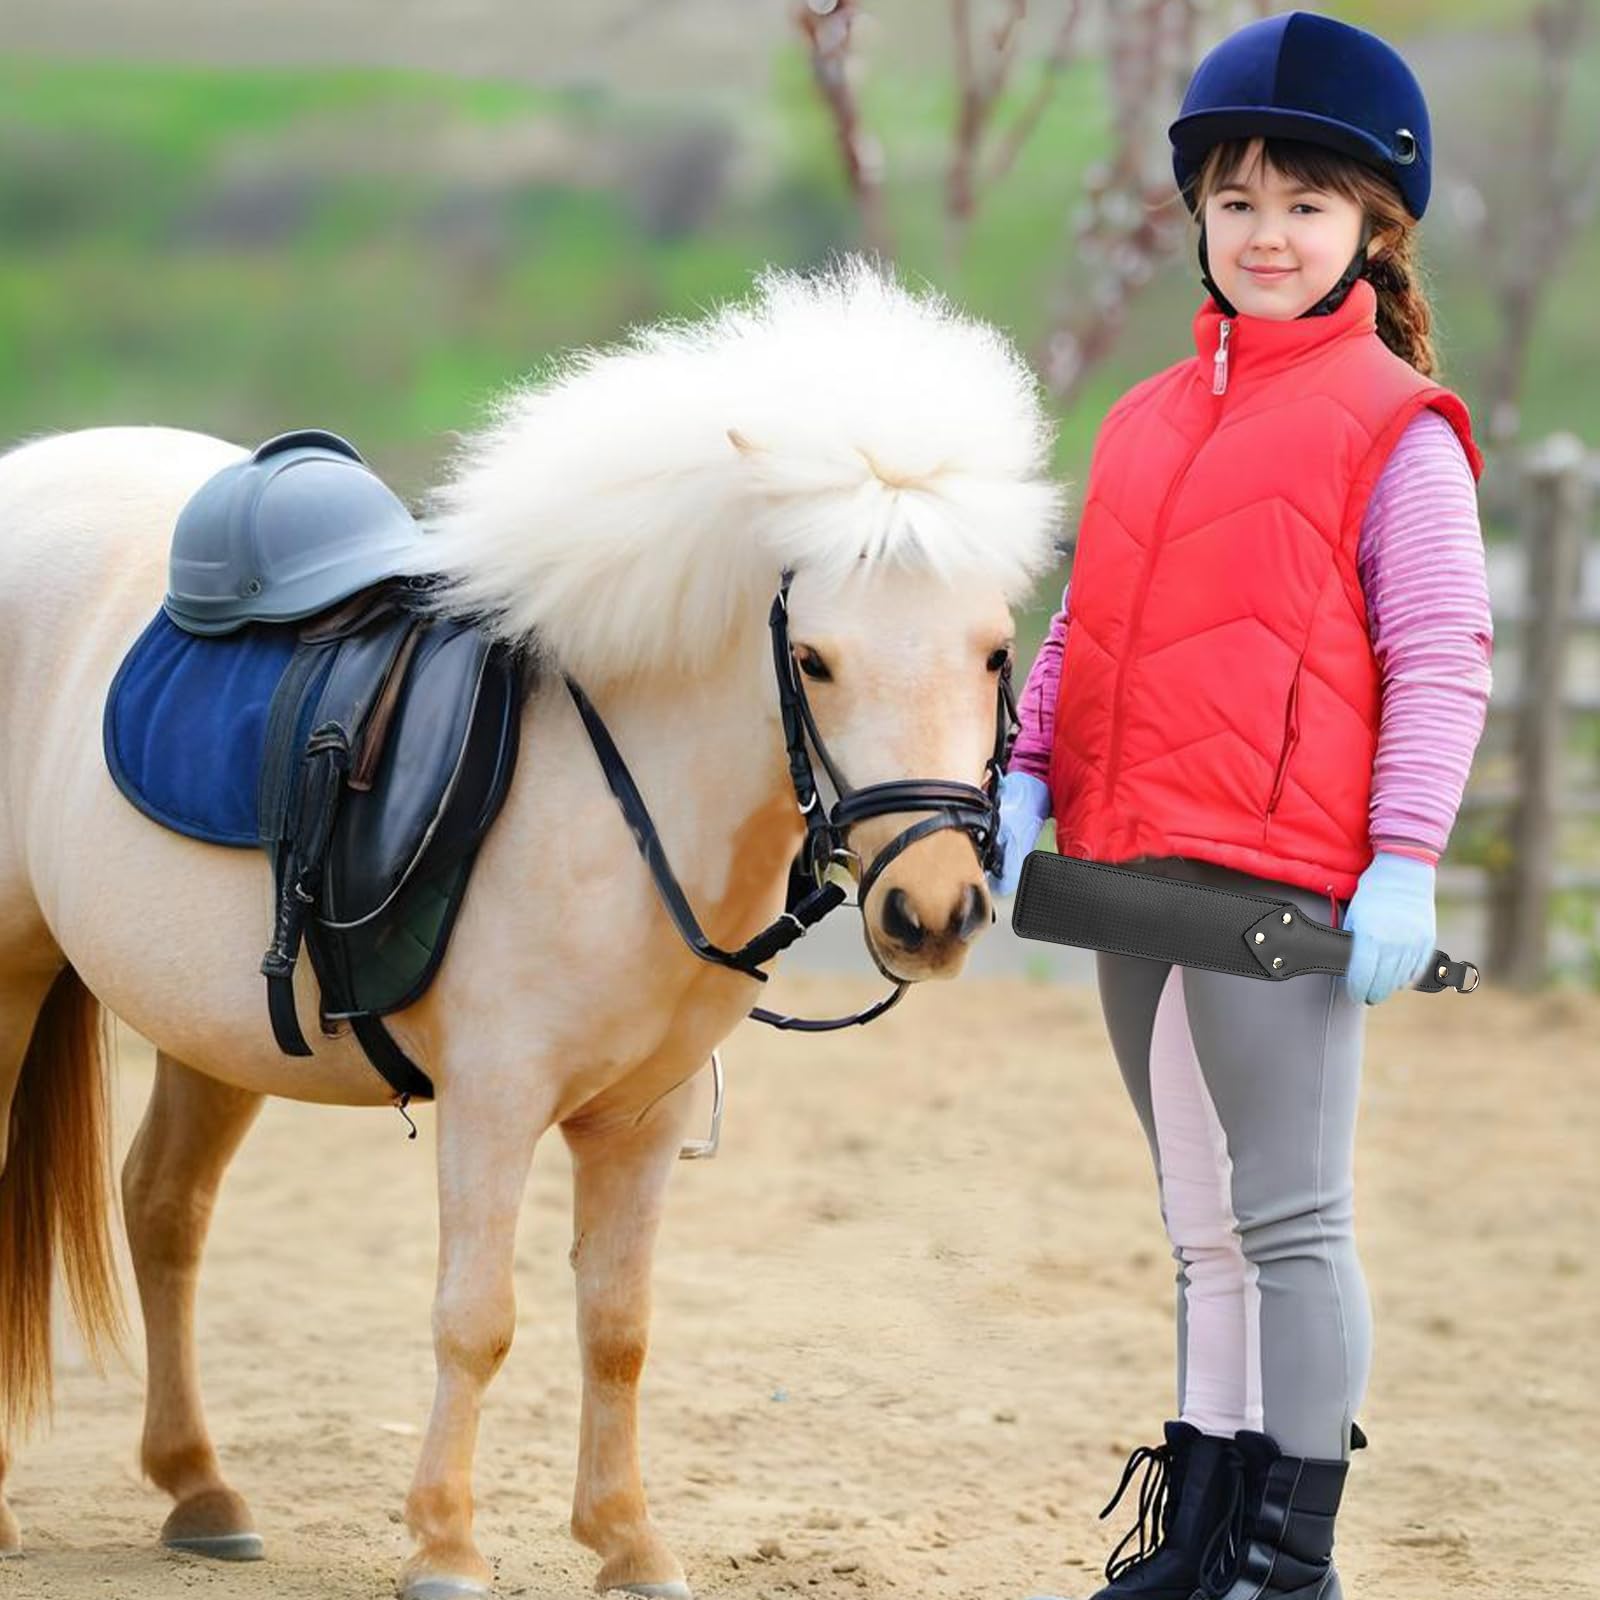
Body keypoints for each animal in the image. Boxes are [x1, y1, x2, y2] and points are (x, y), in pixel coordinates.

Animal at [0, 256, 1062, 1598]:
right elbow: (478, 1317)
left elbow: (617, 1327)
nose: (930, 911)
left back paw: (200, 1487)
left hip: (213, 1026)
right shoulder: (495, 1097)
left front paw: (628, 1541)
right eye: (814, 659)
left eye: (992, 651)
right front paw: (446, 1543)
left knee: (163, 1206)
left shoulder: (644, 1116)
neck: (619, 791)